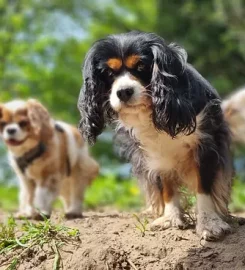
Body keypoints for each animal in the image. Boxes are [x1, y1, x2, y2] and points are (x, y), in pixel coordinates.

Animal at [77, 31, 233, 240]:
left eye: (141, 66)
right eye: (109, 73)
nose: (123, 92)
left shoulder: (207, 143)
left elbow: (204, 186)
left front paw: (209, 223)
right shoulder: (155, 154)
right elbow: (166, 185)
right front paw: (170, 218)